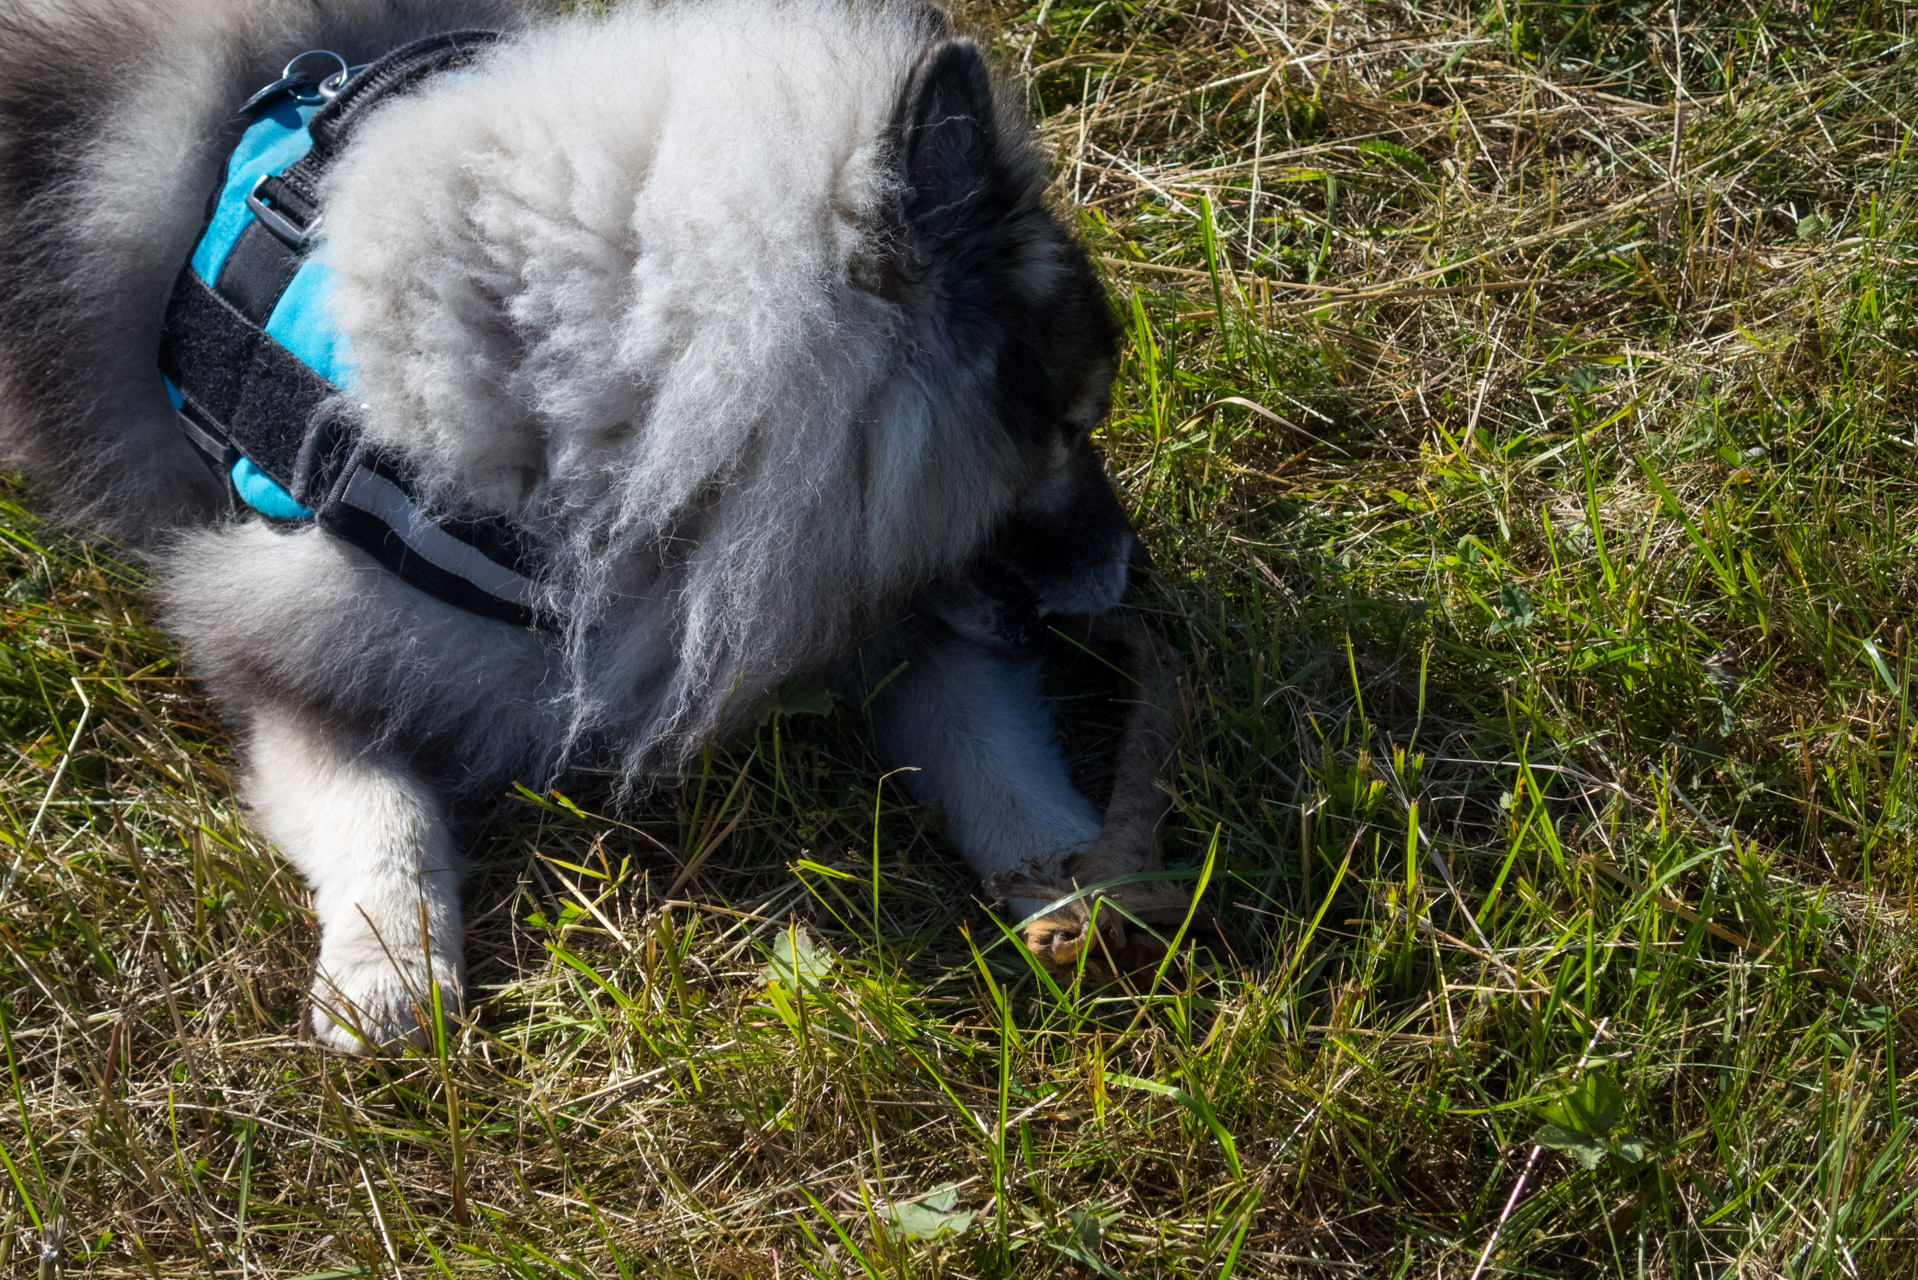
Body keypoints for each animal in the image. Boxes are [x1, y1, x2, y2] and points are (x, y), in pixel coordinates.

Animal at [0, 0, 1158, 1051]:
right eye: (1067, 429)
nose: (1130, 573)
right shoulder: (290, 650)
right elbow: (379, 809)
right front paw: (390, 968)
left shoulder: (838, 597)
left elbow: (985, 737)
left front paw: (1080, 875)